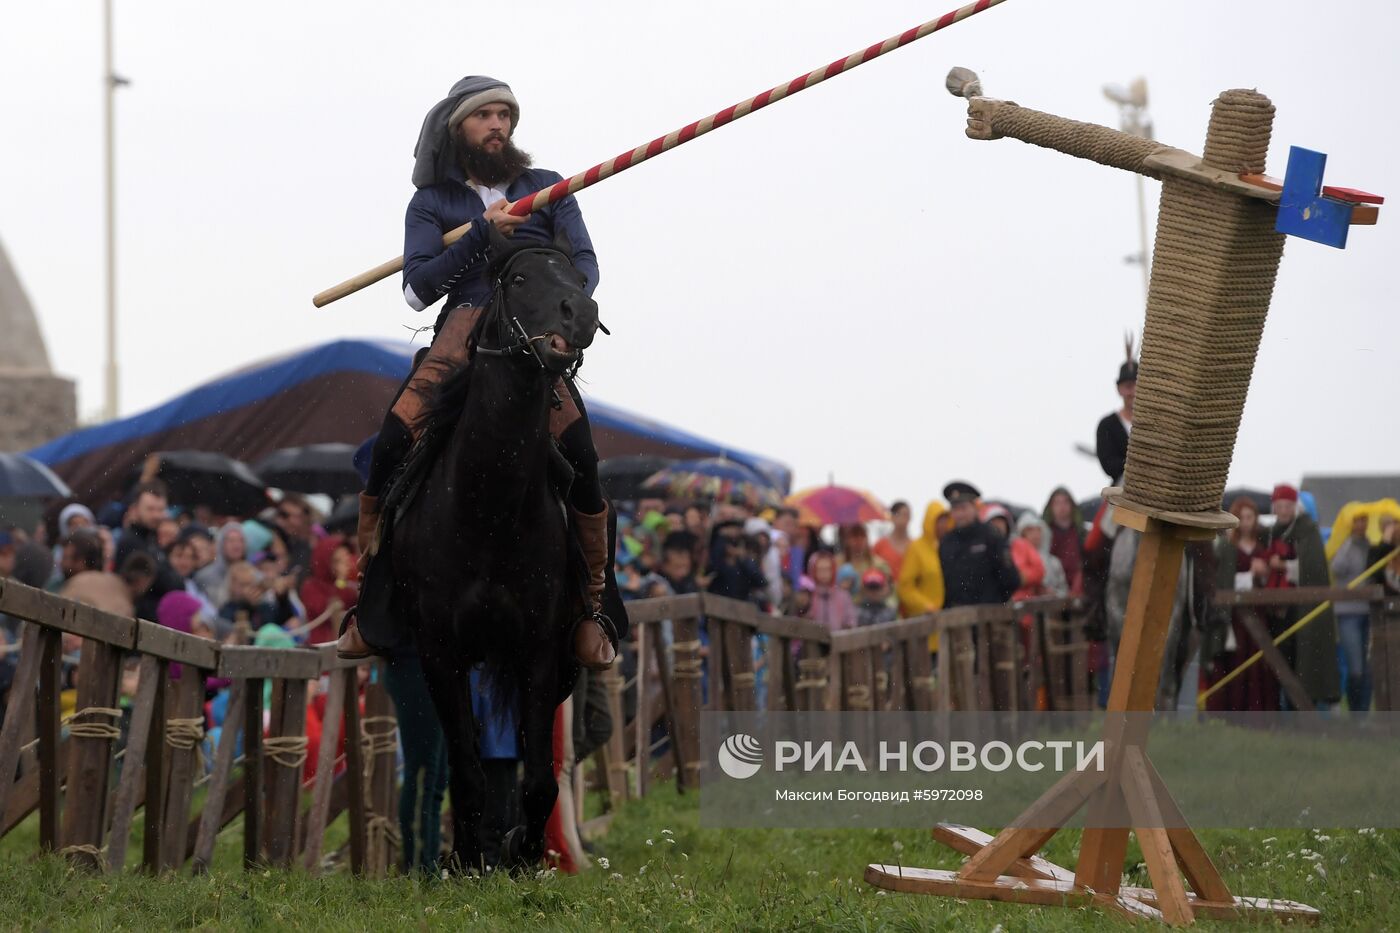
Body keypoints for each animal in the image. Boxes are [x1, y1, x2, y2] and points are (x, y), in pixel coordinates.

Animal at [392, 226, 616, 874]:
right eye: (517, 279)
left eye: (578, 276)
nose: (581, 312)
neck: (487, 507)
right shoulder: (439, 654)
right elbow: (465, 772)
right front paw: (466, 859)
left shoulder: (540, 651)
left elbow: (538, 776)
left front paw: (522, 855)